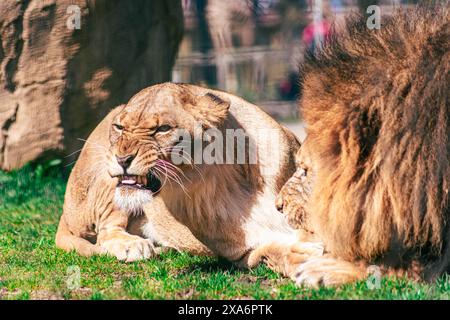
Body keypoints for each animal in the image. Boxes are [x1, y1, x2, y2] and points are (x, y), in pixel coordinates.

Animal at [54, 81, 320, 276]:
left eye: (162, 129)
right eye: (119, 127)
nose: (122, 158)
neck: (230, 183)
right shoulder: (245, 252)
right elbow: (282, 253)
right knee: (105, 233)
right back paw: (134, 246)